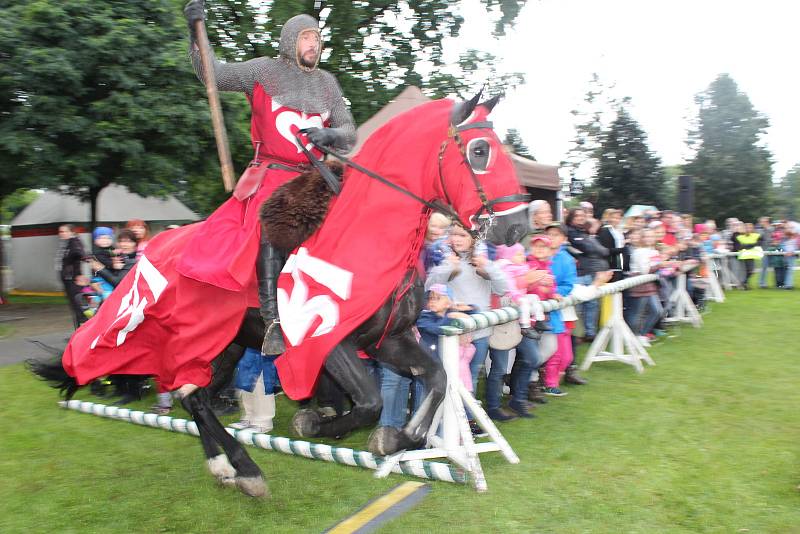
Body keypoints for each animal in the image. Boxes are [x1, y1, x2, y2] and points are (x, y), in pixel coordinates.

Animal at [29, 95, 532, 498]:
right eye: (480, 150)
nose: (517, 227)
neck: (369, 236)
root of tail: (144, 254)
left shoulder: (388, 339)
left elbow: (437, 380)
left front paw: (396, 439)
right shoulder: (328, 342)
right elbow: (369, 402)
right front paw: (316, 422)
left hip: (227, 345)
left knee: (196, 396)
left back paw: (228, 468)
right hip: (189, 339)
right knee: (189, 393)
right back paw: (243, 466)